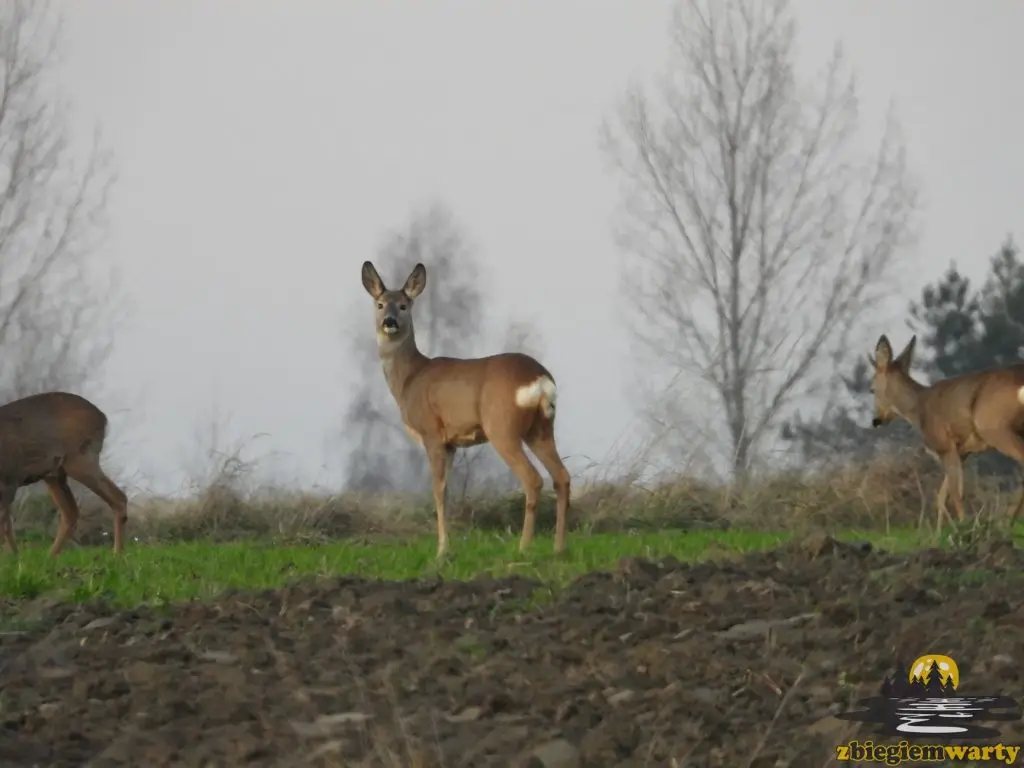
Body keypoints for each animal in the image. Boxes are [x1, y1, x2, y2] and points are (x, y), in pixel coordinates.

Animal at [0, 393, 128, 557]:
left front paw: (14, 557)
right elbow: (7, 525)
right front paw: (16, 557)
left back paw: (117, 554)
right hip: (55, 474)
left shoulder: (10, 479)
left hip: (80, 459)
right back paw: (50, 556)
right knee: (71, 513)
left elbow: (4, 525)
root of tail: (102, 417)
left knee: (118, 498)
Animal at [360, 260, 573, 561]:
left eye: (403, 305)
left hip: (502, 427)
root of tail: (541, 380)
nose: (389, 322)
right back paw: (558, 548)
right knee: (562, 477)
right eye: (379, 304)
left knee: (532, 479)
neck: (410, 378)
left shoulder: (432, 433)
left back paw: (523, 547)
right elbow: (447, 490)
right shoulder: (451, 443)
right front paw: (446, 546)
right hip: (541, 428)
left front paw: (441, 550)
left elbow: (438, 490)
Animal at [872, 333, 1024, 532]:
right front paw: (941, 533)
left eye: (871, 390)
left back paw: (1007, 522)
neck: (918, 408)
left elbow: (955, 494)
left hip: (995, 428)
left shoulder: (944, 446)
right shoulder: (963, 452)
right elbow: (942, 496)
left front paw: (964, 527)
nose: (876, 420)